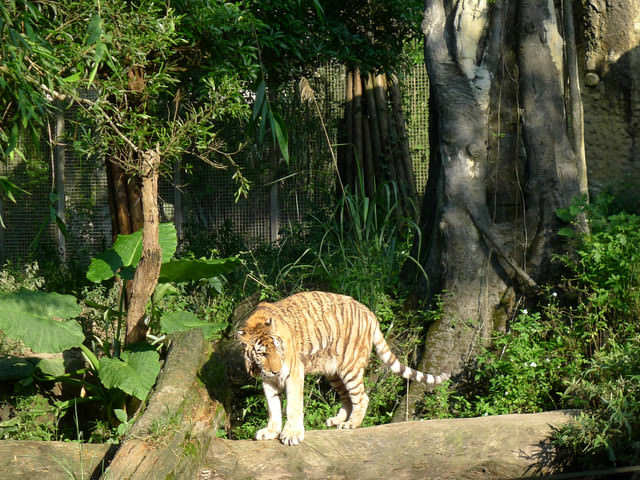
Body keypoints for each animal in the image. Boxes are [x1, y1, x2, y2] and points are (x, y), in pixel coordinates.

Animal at [236, 290, 450, 444]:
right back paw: (338, 421)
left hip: (351, 367)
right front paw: (271, 432)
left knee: (362, 397)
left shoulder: (294, 374)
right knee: (347, 397)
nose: (276, 370)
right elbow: (273, 408)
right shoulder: (268, 381)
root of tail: (368, 312)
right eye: (262, 353)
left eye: (277, 349)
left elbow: (293, 407)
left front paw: (292, 434)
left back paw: (351, 424)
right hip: (334, 371)